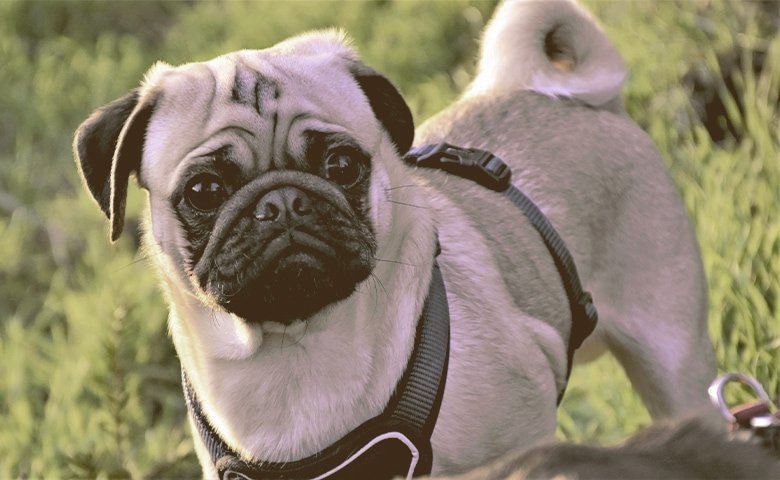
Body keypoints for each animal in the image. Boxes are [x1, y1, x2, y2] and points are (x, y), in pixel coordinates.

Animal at [76, 0, 716, 476]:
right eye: (205, 190)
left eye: (341, 166)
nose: (281, 203)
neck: (297, 358)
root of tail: (579, 100)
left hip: (674, 360)